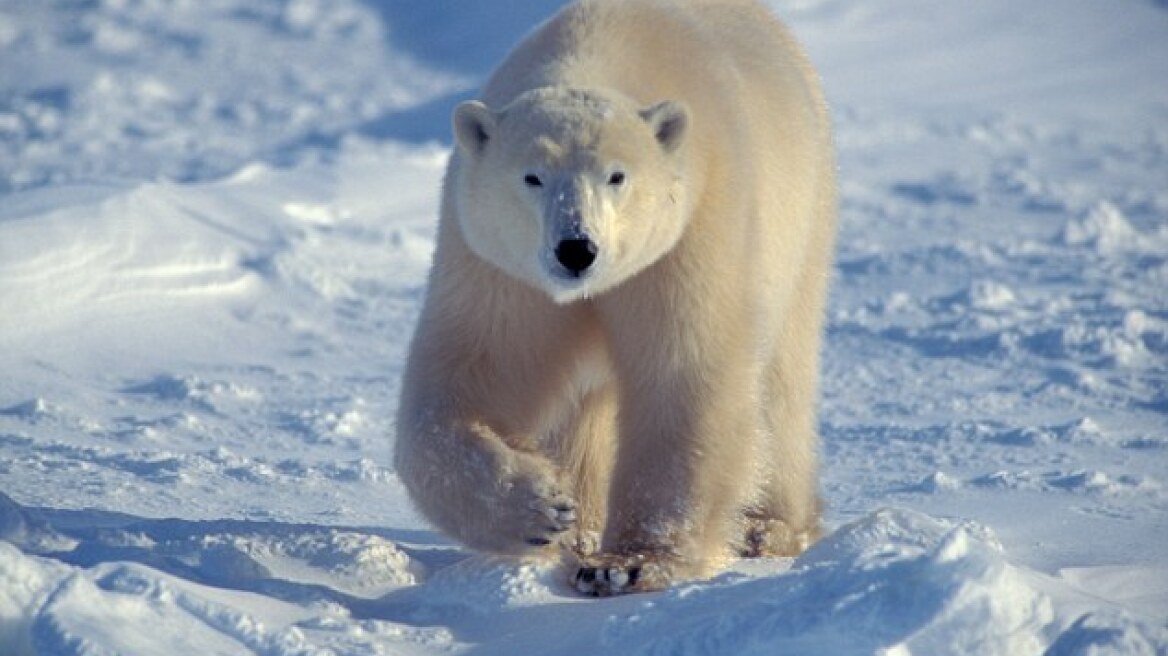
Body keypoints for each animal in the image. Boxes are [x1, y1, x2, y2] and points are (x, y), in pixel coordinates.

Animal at [397, 0, 836, 592]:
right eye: (532, 177)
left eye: (617, 176)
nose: (576, 249)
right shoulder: (501, 271)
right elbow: (473, 375)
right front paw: (540, 507)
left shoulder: (690, 234)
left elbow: (683, 376)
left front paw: (627, 563)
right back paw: (578, 528)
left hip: (803, 215)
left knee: (781, 384)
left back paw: (771, 528)